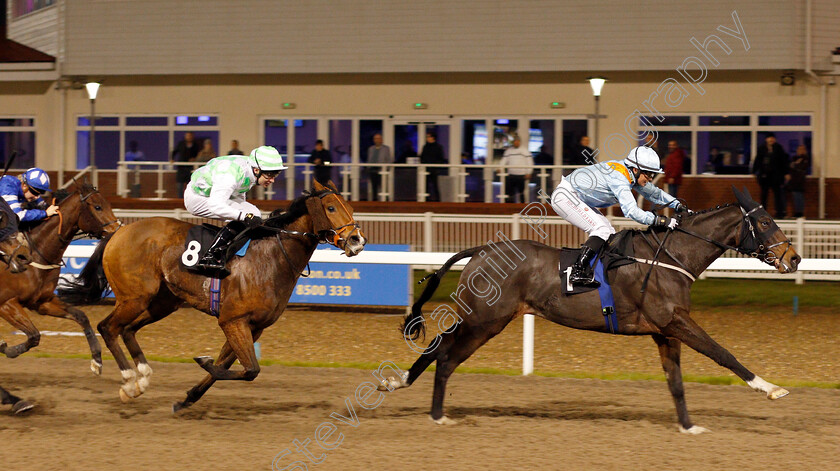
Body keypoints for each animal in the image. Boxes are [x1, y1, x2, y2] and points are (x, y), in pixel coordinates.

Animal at [64, 181, 366, 410]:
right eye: (330, 207)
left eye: (351, 208)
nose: (357, 241)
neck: (271, 256)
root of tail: (120, 230)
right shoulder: (233, 320)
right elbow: (249, 369)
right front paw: (202, 363)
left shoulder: (253, 327)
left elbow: (232, 365)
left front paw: (188, 397)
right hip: (134, 297)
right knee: (108, 327)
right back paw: (128, 382)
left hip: (163, 302)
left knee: (127, 329)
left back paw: (142, 378)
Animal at [378, 189, 800, 436]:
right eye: (765, 222)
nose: (794, 258)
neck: (670, 257)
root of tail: (482, 250)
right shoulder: (675, 321)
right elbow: (722, 353)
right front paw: (771, 388)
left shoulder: (665, 330)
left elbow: (676, 383)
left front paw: (688, 426)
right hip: (486, 320)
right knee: (446, 356)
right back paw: (437, 414)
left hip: (482, 317)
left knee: (437, 345)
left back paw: (400, 383)